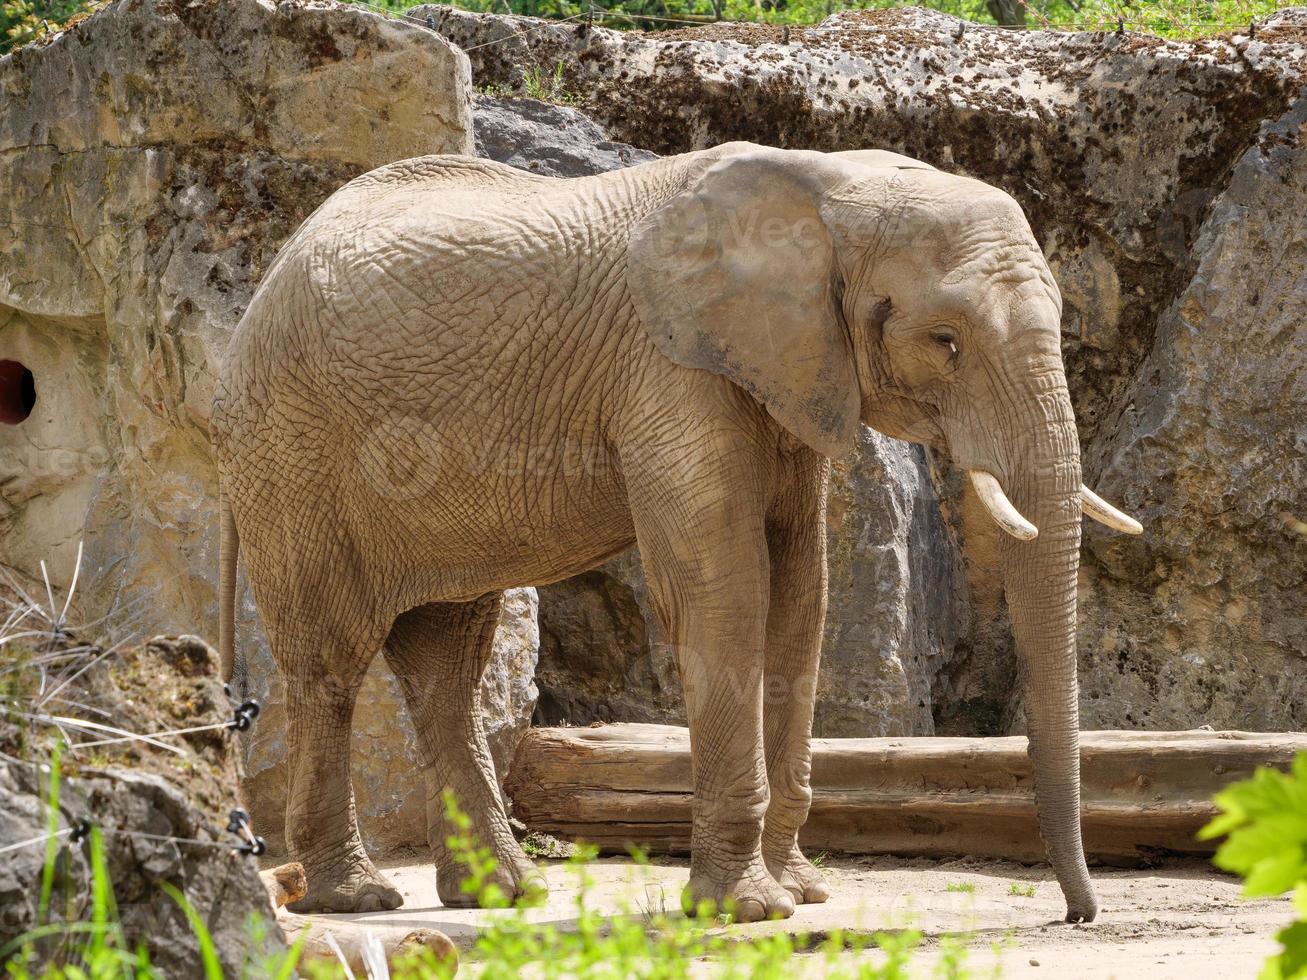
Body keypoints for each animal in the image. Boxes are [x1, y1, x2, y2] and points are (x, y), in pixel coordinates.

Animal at [214, 141, 1144, 925]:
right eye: (944, 340)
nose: (1076, 915)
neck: (825, 187)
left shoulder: (789, 374)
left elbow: (800, 593)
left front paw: (802, 892)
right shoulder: (668, 369)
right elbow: (719, 585)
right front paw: (750, 910)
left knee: (446, 658)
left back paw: (503, 895)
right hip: (292, 450)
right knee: (330, 656)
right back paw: (358, 899)